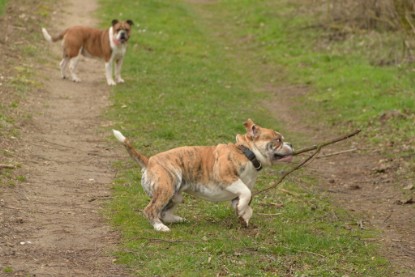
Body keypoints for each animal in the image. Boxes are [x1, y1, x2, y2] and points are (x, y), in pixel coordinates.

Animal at [114, 118, 294, 231]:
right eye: (278, 140)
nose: (291, 144)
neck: (246, 152)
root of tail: (149, 161)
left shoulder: (236, 194)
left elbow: (247, 204)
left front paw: (244, 216)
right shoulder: (227, 177)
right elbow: (247, 193)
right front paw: (243, 210)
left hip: (175, 194)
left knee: (163, 212)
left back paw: (177, 219)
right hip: (166, 188)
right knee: (151, 209)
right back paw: (160, 227)